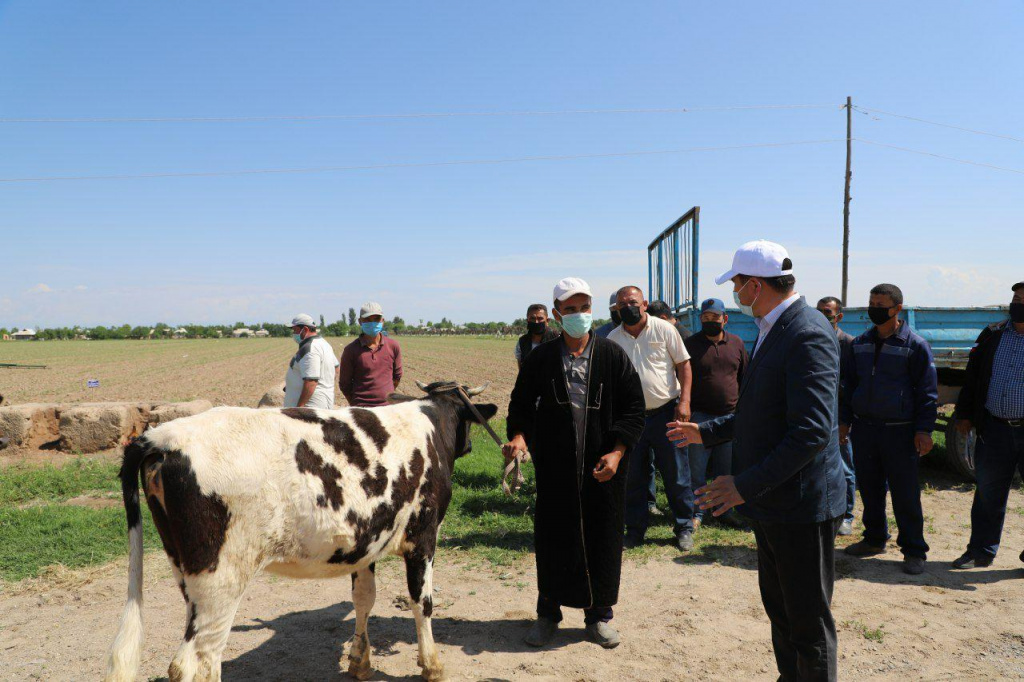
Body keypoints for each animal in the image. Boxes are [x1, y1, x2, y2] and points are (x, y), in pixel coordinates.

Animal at [105, 378, 497, 675]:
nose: (470, 445)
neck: (430, 424)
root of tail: (159, 437)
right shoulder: (423, 537)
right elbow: (422, 602)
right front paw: (432, 666)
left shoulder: (366, 542)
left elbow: (364, 598)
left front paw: (360, 662)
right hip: (221, 578)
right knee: (197, 659)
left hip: (186, 572)